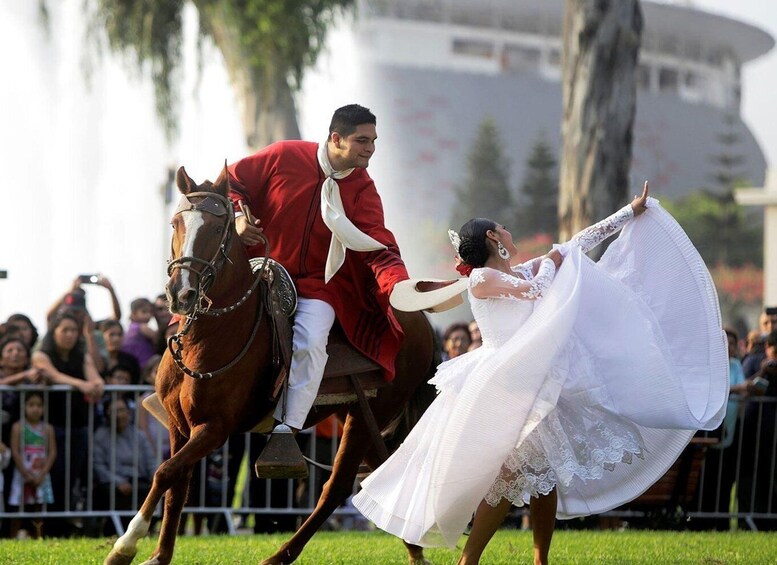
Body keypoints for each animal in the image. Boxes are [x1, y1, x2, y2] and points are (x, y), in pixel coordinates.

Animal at [104, 165, 436, 560]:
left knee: (338, 486)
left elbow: (165, 473)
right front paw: (158, 555)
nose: (180, 293)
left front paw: (126, 544)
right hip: (357, 414)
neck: (212, 334)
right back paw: (414, 550)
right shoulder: (178, 425)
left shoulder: (213, 428)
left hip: (367, 414)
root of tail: (421, 321)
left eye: (218, 227)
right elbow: (177, 486)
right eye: (175, 223)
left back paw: (280, 555)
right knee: (378, 471)